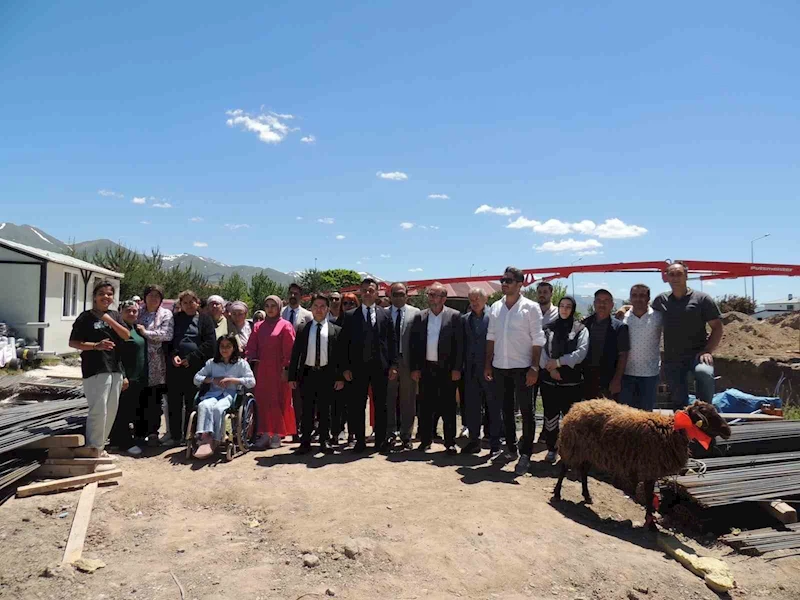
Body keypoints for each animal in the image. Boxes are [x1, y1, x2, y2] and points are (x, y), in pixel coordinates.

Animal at [552, 400, 728, 528]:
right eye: (706, 414)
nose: (728, 431)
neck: (673, 430)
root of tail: (577, 406)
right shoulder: (649, 469)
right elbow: (650, 497)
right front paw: (651, 524)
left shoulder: (652, 471)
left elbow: (651, 497)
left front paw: (650, 521)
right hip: (573, 446)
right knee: (564, 467)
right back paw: (557, 493)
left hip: (589, 452)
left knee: (583, 471)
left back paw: (587, 496)